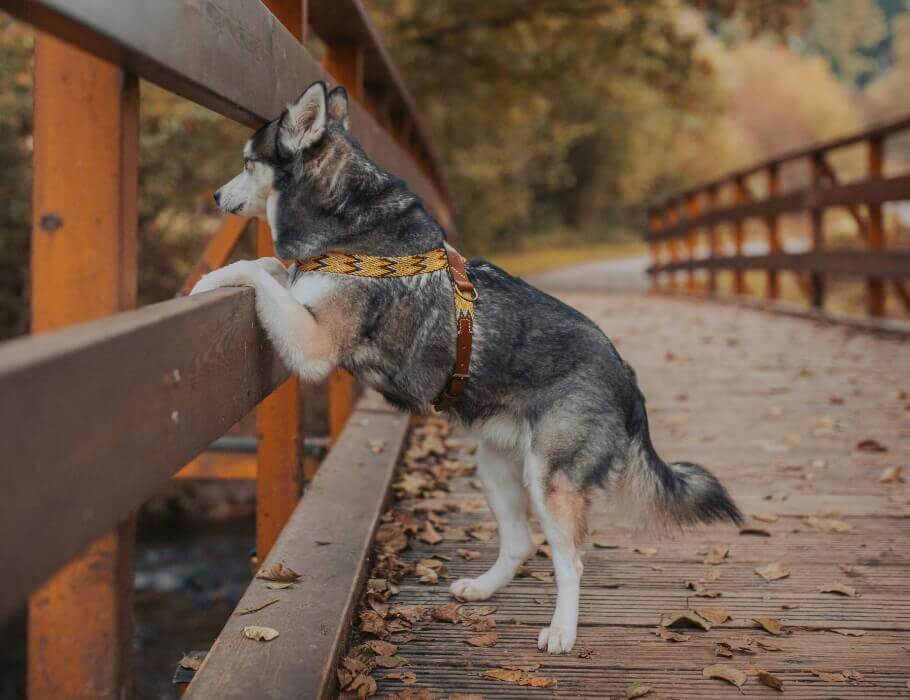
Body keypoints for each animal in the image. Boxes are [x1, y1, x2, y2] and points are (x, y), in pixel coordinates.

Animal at [192, 82, 740, 656]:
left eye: (247, 162)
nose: (214, 196)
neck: (348, 220)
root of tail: (627, 376)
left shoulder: (314, 343)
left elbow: (258, 271)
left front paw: (207, 280)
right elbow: (272, 268)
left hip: (550, 481)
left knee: (571, 562)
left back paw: (562, 631)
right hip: (497, 466)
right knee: (520, 543)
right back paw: (482, 588)